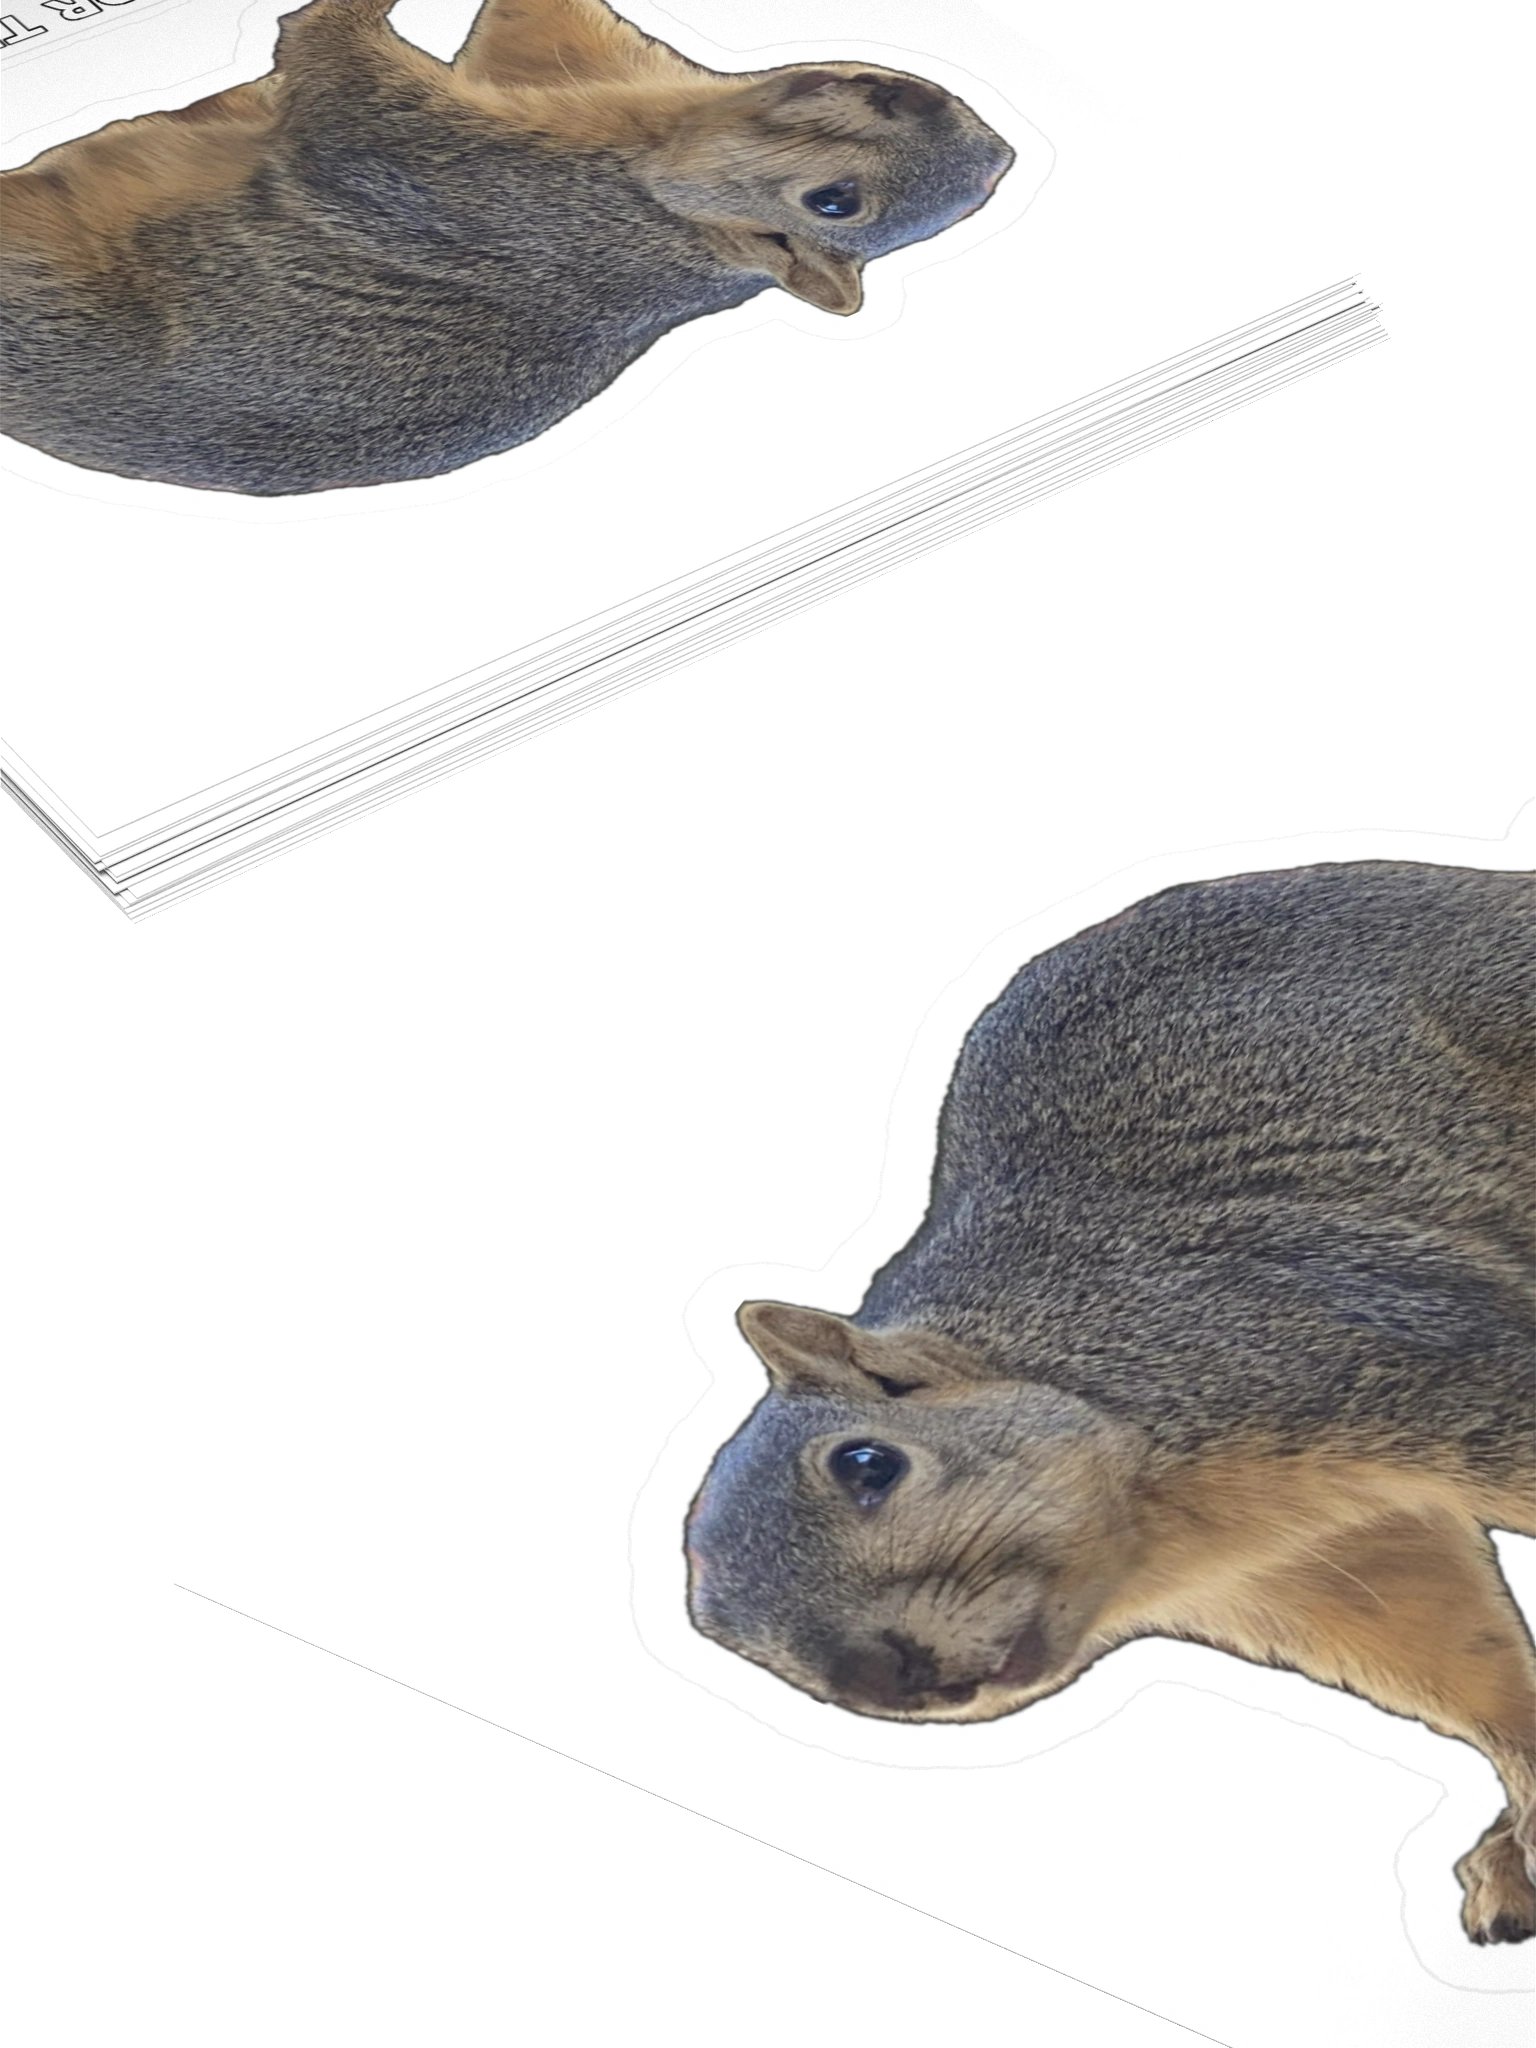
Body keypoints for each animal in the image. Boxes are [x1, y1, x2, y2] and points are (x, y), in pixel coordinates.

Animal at [0, 0, 1013, 495]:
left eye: (834, 204)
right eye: (929, 96)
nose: (993, 143)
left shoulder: (478, 189)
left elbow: (344, 92)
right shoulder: (580, 64)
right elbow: (530, 20)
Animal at [685, 860, 1536, 1946]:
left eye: (866, 1462)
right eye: (737, 1643)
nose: (892, 1677)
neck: (1173, 1529)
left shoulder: (1356, 1343)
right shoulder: (1332, 1560)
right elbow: (1473, 1667)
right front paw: (1521, 1830)